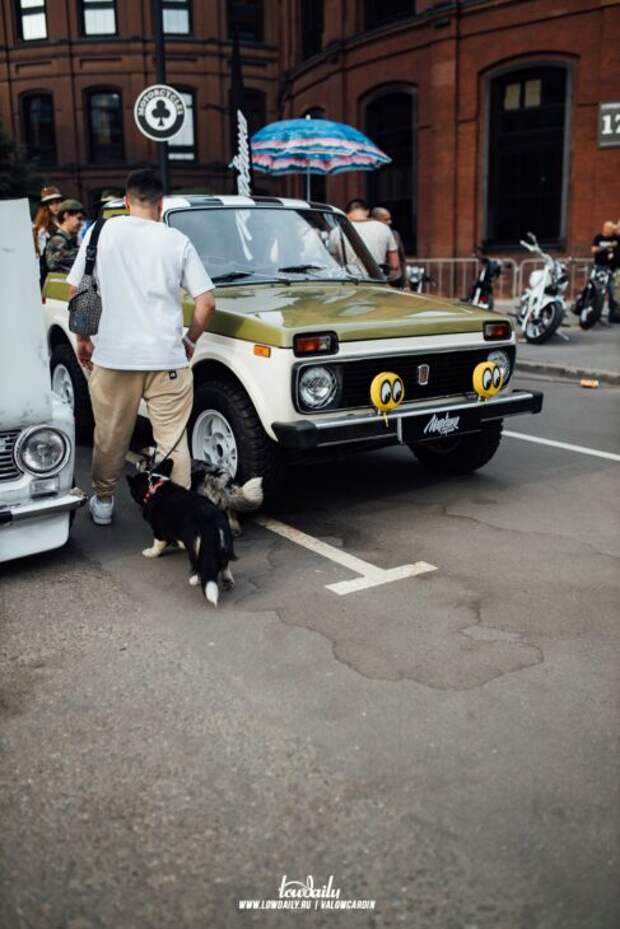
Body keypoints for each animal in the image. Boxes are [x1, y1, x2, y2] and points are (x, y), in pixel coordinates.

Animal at [127, 458, 236, 607]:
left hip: (196, 548)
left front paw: (150, 553)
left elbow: (157, 545)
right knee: (224, 564)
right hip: (224, 544)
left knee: (200, 566)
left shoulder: (159, 531)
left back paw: (194, 580)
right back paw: (228, 581)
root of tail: (211, 523)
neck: (153, 486)